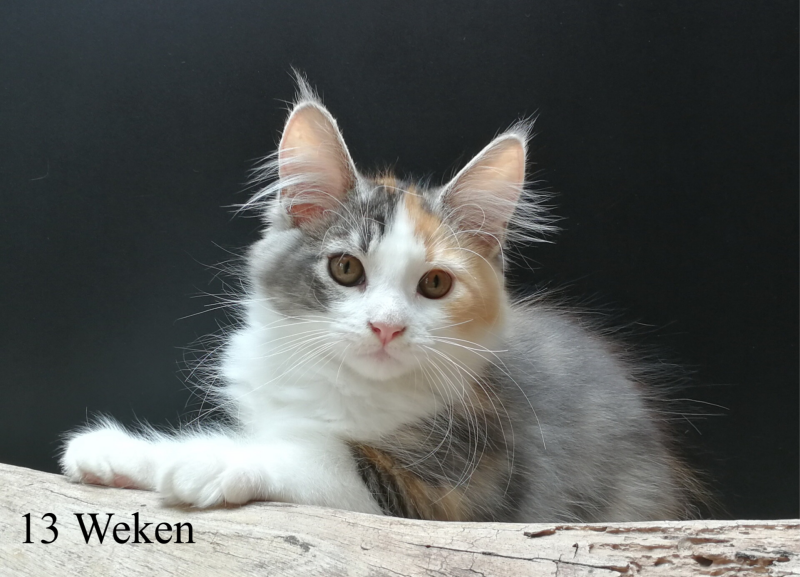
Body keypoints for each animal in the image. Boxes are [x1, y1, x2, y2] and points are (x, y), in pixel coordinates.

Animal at [61, 76, 700, 522]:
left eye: (435, 284)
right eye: (346, 269)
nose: (387, 327)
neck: (343, 386)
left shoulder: (453, 490)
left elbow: (314, 452)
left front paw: (206, 458)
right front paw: (118, 451)